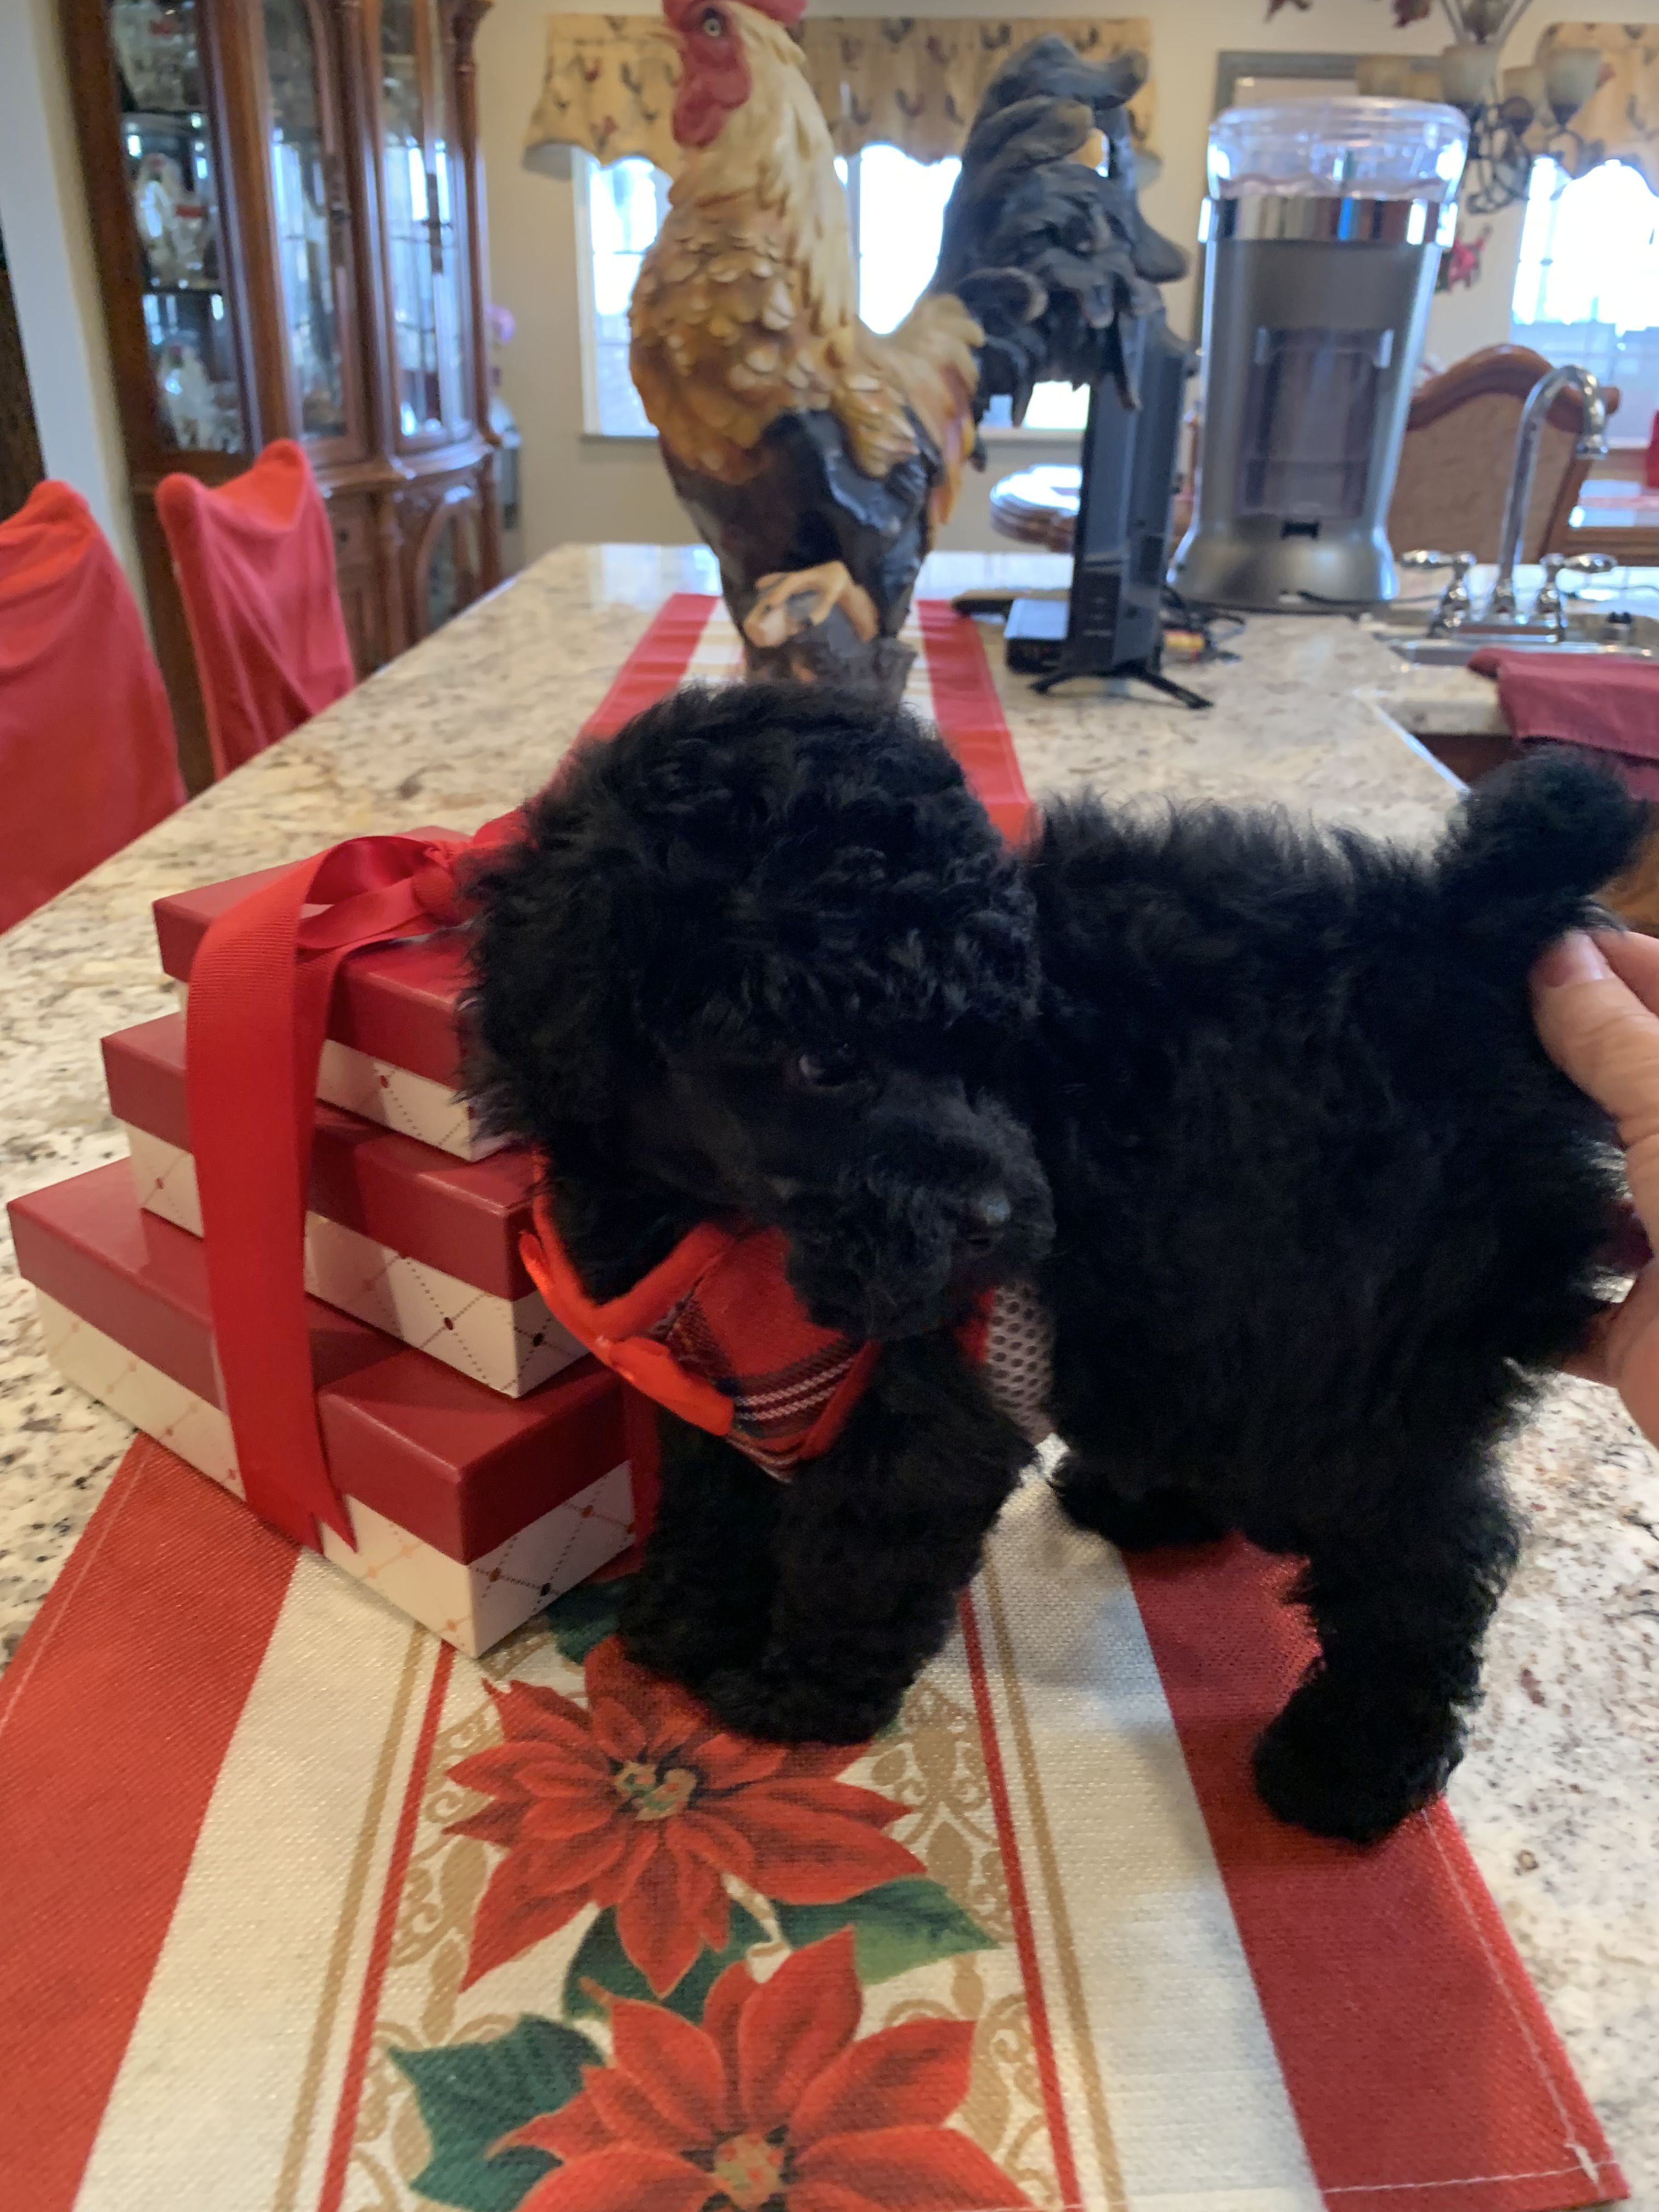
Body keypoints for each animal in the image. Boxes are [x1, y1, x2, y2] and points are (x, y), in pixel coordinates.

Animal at [467, 681, 1645, 1844]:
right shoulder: (709, 1378)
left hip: (1351, 1357)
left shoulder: (922, 1412)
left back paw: (1344, 1769)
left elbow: (853, 1556)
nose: (1001, 1217)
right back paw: (1149, 1507)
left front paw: (792, 1701)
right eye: (824, 1060)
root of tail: (1462, 927)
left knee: (1424, 1560)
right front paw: (675, 1624)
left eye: (996, 1047)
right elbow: (712, 1499)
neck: (724, 1225)